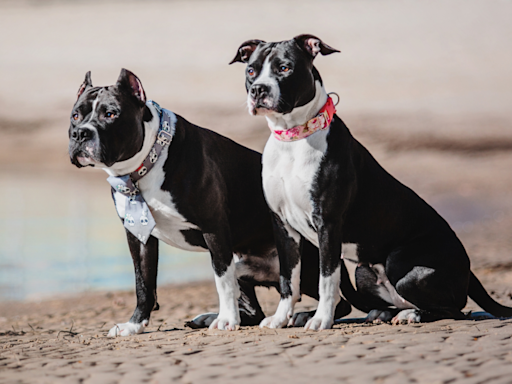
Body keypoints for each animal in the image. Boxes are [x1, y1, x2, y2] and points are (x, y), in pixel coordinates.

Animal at [67, 69, 352, 336]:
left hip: (307, 260)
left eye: (110, 114)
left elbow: (222, 280)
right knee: (254, 309)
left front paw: (227, 320)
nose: (80, 134)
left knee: (337, 297)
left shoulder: (213, 228)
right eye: (76, 116)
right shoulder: (138, 237)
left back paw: (305, 316)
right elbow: (143, 283)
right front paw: (134, 325)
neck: (147, 163)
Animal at [231, 33, 512, 330]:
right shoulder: (283, 226)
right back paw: (386, 313)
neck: (293, 138)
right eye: (251, 71)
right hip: (363, 271)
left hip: (401, 264)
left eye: (285, 68)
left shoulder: (328, 223)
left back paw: (411, 315)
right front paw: (280, 318)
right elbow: (288, 279)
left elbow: (326, 280)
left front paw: (321, 320)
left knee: (456, 310)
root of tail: (469, 268)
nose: (258, 90)